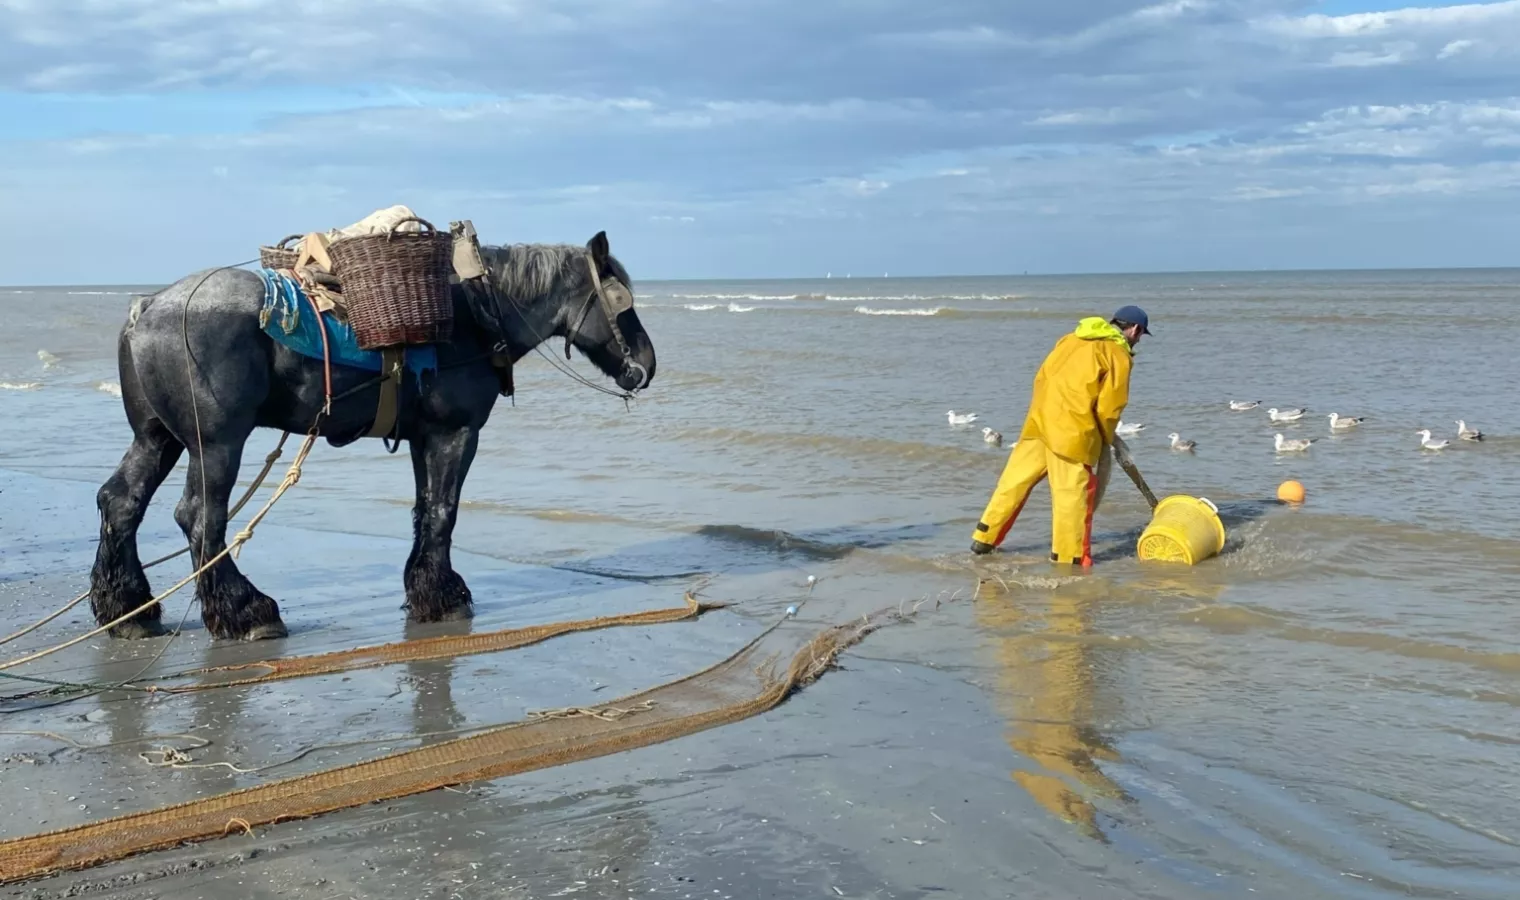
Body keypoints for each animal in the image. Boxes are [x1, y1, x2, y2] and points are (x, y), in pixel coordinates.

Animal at [88, 230, 656, 642]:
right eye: (621, 302)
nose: (647, 365)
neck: (472, 315)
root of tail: (148, 307)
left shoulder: (424, 436)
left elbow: (425, 510)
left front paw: (426, 588)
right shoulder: (457, 433)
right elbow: (444, 511)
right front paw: (445, 596)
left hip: (158, 438)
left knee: (121, 502)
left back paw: (129, 609)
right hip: (217, 443)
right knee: (201, 518)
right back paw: (247, 611)